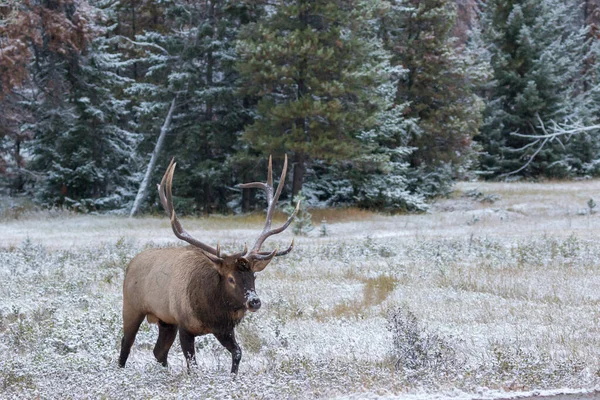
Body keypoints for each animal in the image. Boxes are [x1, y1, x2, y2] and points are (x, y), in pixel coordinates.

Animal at [119, 155, 300, 372]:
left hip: (165, 320)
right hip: (132, 307)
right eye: (230, 278)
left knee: (158, 352)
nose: (254, 301)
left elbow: (238, 353)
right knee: (125, 345)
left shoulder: (223, 328)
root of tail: (130, 264)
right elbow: (193, 365)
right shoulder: (184, 324)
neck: (209, 311)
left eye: (254, 276)